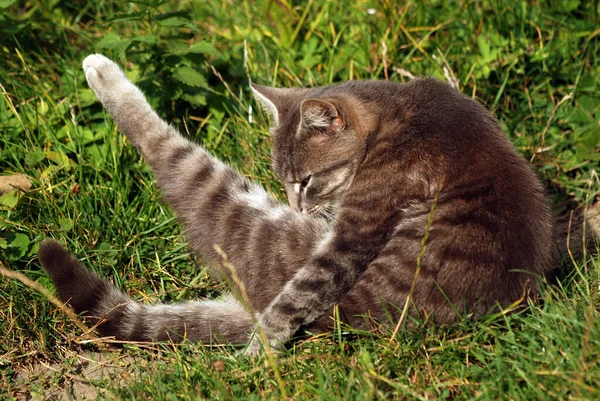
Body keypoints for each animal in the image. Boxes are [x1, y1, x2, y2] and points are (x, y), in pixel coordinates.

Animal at [37, 52, 556, 354]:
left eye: (306, 181)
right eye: (285, 181)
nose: (299, 206)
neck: (396, 114)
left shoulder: (352, 233)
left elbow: (299, 295)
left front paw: (258, 353)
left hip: (237, 207)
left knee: (168, 149)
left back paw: (102, 71)